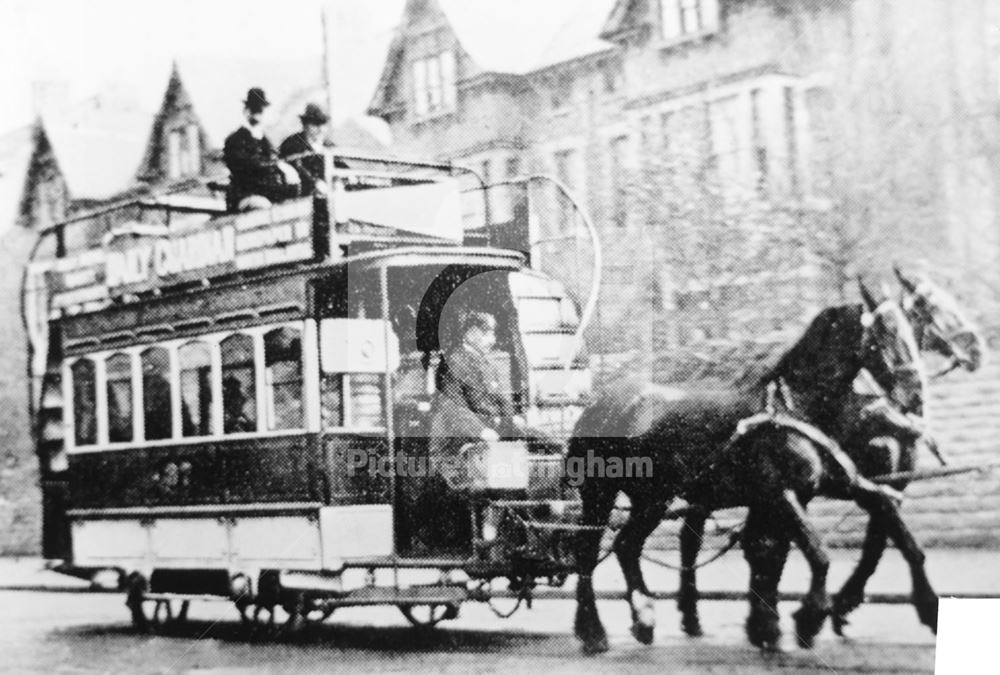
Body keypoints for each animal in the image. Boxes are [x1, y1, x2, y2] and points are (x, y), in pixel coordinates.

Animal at [576, 282, 924, 656]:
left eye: (911, 329)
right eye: (884, 334)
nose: (915, 394)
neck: (792, 407)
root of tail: (598, 403)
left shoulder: (830, 484)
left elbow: (777, 552)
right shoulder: (780, 494)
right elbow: (815, 554)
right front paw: (807, 619)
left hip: (653, 498)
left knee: (627, 545)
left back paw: (644, 619)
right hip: (600, 493)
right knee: (588, 553)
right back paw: (594, 632)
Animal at [672, 268, 984, 640]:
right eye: (933, 307)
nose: (978, 350)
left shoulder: (880, 484)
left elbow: (886, 543)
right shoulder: (864, 483)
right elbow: (875, 544)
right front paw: (833, 608)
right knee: (695, 540)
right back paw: (694, 615)